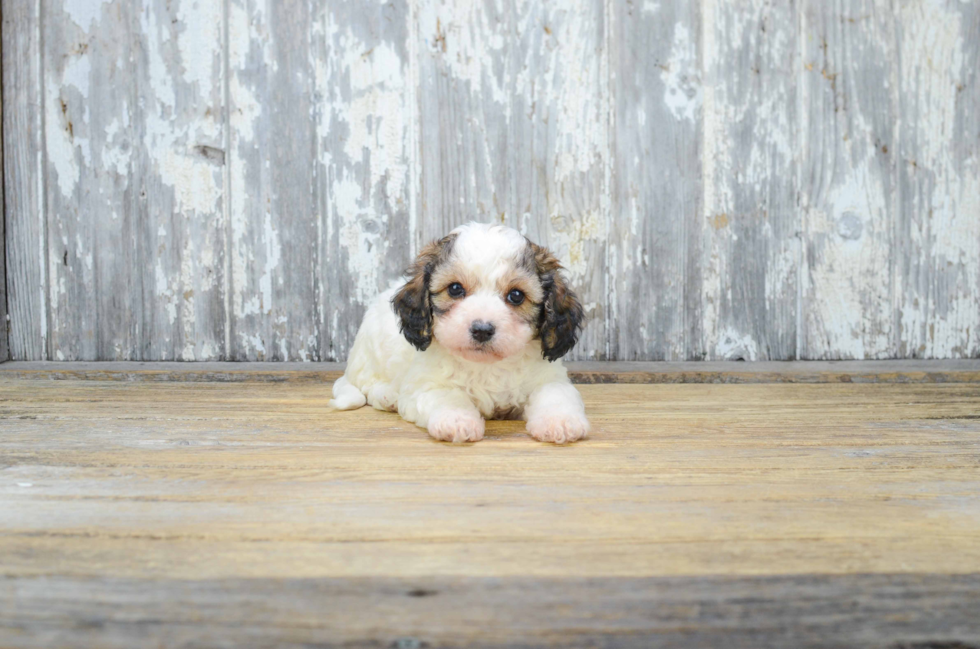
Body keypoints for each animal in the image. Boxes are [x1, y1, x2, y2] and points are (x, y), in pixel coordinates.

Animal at [330, 220, 588, 442]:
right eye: (455, 289)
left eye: (516, 295)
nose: (482, 329)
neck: (487, 366)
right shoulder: (426, 384)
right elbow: (446, 396)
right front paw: (456, 420)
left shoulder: (549, 377)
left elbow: (555, 393)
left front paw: (560, 422)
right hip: (371, 355)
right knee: (368, 384)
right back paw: (388, 395)